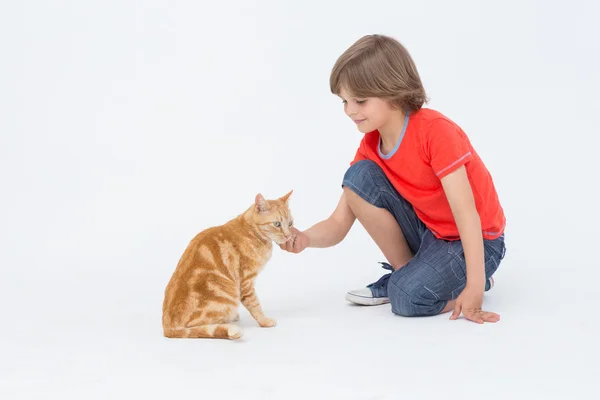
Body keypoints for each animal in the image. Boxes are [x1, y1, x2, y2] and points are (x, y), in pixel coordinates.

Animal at [163, 190, 294, 338]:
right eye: (277, 224)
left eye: (290, 223)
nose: (288, 235)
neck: (251, 230)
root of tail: (168, 327)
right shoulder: (246, 282)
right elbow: (255, 305)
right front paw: (264, 321)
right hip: (226, 293)